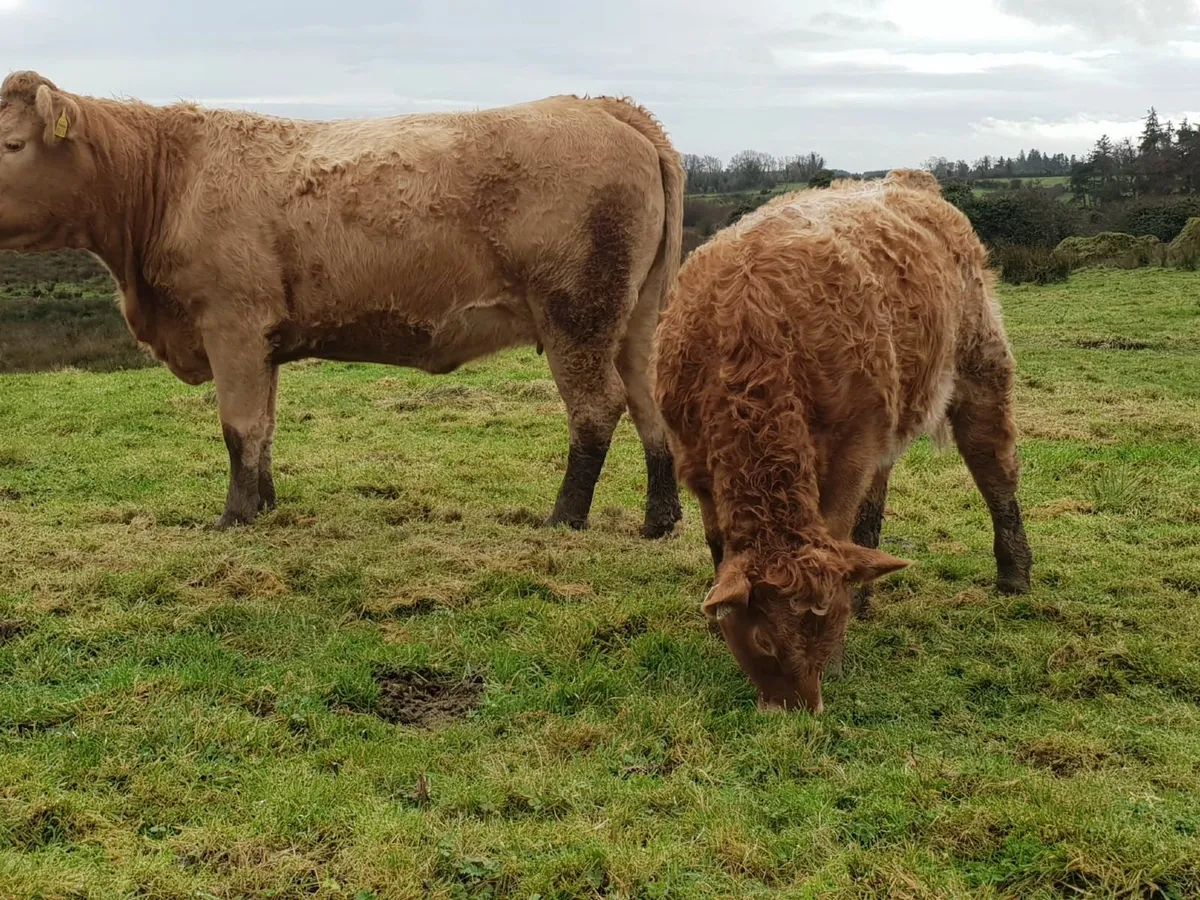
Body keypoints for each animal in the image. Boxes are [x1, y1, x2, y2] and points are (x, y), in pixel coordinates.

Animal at [0, 71, 684, 538]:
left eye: (10, 145)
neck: (170, 179)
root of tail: (603, 107)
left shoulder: (231, 324)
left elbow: (238, 426)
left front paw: (234, 517)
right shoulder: (262, 340)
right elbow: (264, 427)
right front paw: (266, 505)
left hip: (577, 312)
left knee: (596, 408)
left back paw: (564, 518)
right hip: (633, 316)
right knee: (648, 400)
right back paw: (660, 518)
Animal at [654, 169, 1033, 714]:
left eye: (829, 624)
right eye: (764, 639)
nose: (801, 708)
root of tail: (911, 182)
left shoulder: (849, 453)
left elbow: (838, 525)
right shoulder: (696, 464)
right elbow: (718, 546)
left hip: (981, 370)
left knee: (995, 470)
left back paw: (1014, 576)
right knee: (874, 509)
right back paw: (869, 591)